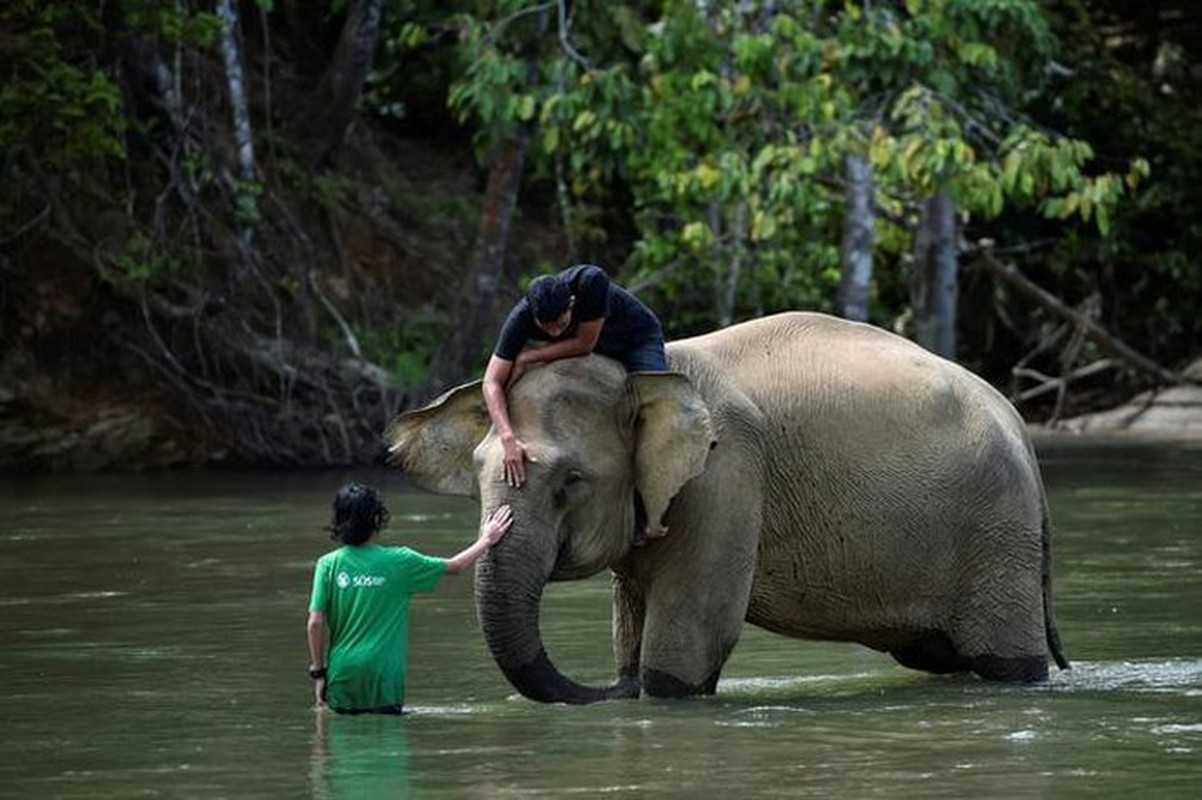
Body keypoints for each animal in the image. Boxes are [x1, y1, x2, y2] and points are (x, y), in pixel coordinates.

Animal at [384, 309, 1072, 696]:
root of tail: (1018, 421)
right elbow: (632, 618)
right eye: (477, 476)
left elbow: (695, 631)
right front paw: (627, 680)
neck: (647, 374)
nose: (607, 691)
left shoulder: (726, 474)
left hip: (997, 531)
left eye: (570, 482)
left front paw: (649, 690)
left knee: (1003, 661)